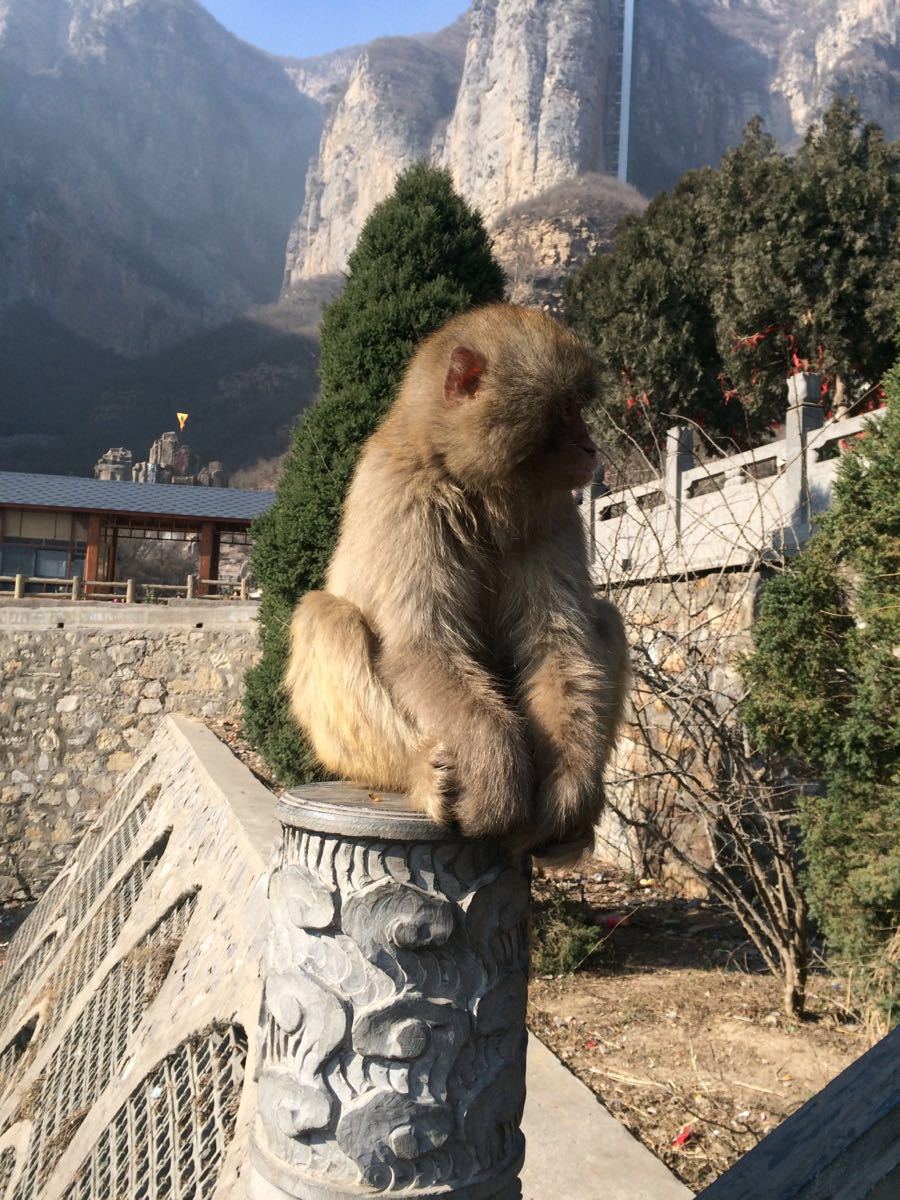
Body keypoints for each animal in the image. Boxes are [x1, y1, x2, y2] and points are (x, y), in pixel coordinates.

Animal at [285, 304, 628, 859]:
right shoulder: (407, 499)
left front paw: (569, 790)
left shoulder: (552, 513)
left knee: (605, 618)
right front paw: (495, 774)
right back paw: (420, 773)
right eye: (567, 409)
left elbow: (558, 643)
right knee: (327, 616)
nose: (589, 446)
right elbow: (422, 643)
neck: (472, 484)